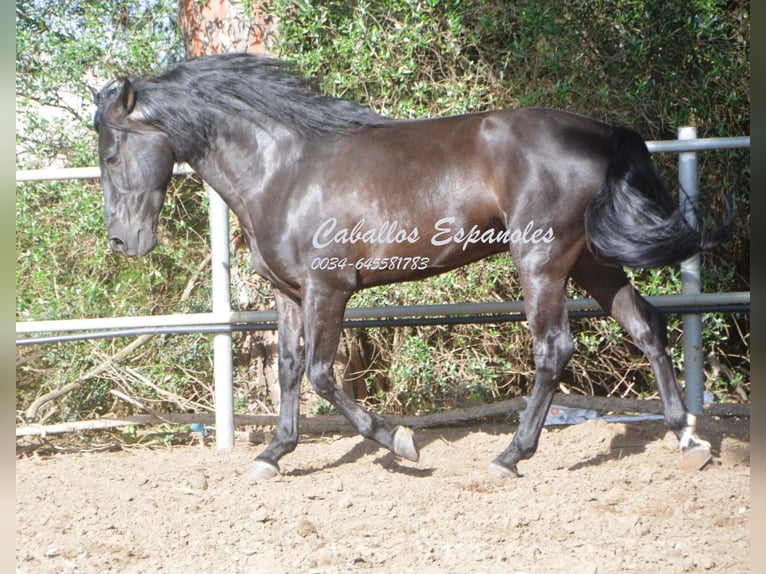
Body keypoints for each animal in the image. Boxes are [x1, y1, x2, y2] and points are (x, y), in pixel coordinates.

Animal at [91, 54, 732, 480]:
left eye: (112, 152)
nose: (123, 240)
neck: (283, 170)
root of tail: (600, 132)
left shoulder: (329, 288)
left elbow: (322, 373)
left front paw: (400, 442)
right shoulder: (289, 293)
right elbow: (290, 369)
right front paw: (273, 454)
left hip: (543, 261)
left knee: (554, 349)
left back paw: (509, 456)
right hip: (591, 262)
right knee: (646, 326)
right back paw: (686, 438)